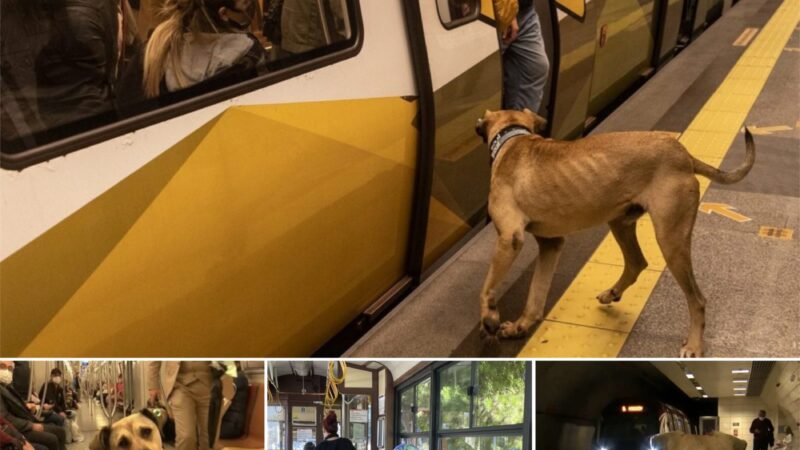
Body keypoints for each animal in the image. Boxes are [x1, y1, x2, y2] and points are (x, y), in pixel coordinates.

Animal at [476, 107, 756, 356]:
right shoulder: (551, 243)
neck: (513, 139)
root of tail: (684, 155)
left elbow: (487, 285)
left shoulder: (510, 238)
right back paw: (612, 293)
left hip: (670, 239)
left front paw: (489, 318)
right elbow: (536, 295)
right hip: (620, 222)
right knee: (636, 262)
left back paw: (694, 346)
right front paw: (519, 326)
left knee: (697, 300)